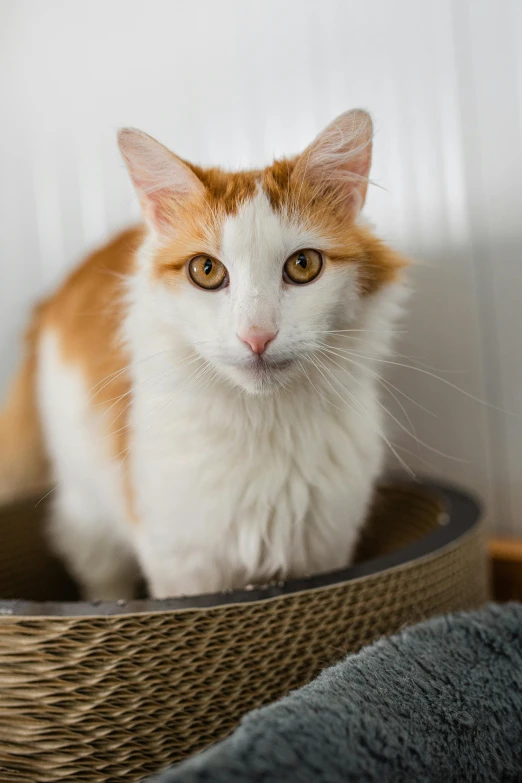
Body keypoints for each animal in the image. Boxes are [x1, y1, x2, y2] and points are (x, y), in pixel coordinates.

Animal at [0, 108, 406, 600]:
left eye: (303, 265)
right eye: (206, 270)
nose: (257, 336)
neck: (264, 427)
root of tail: (49, 298)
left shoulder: (325, 553)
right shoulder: (182, 567)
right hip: (88, 514)